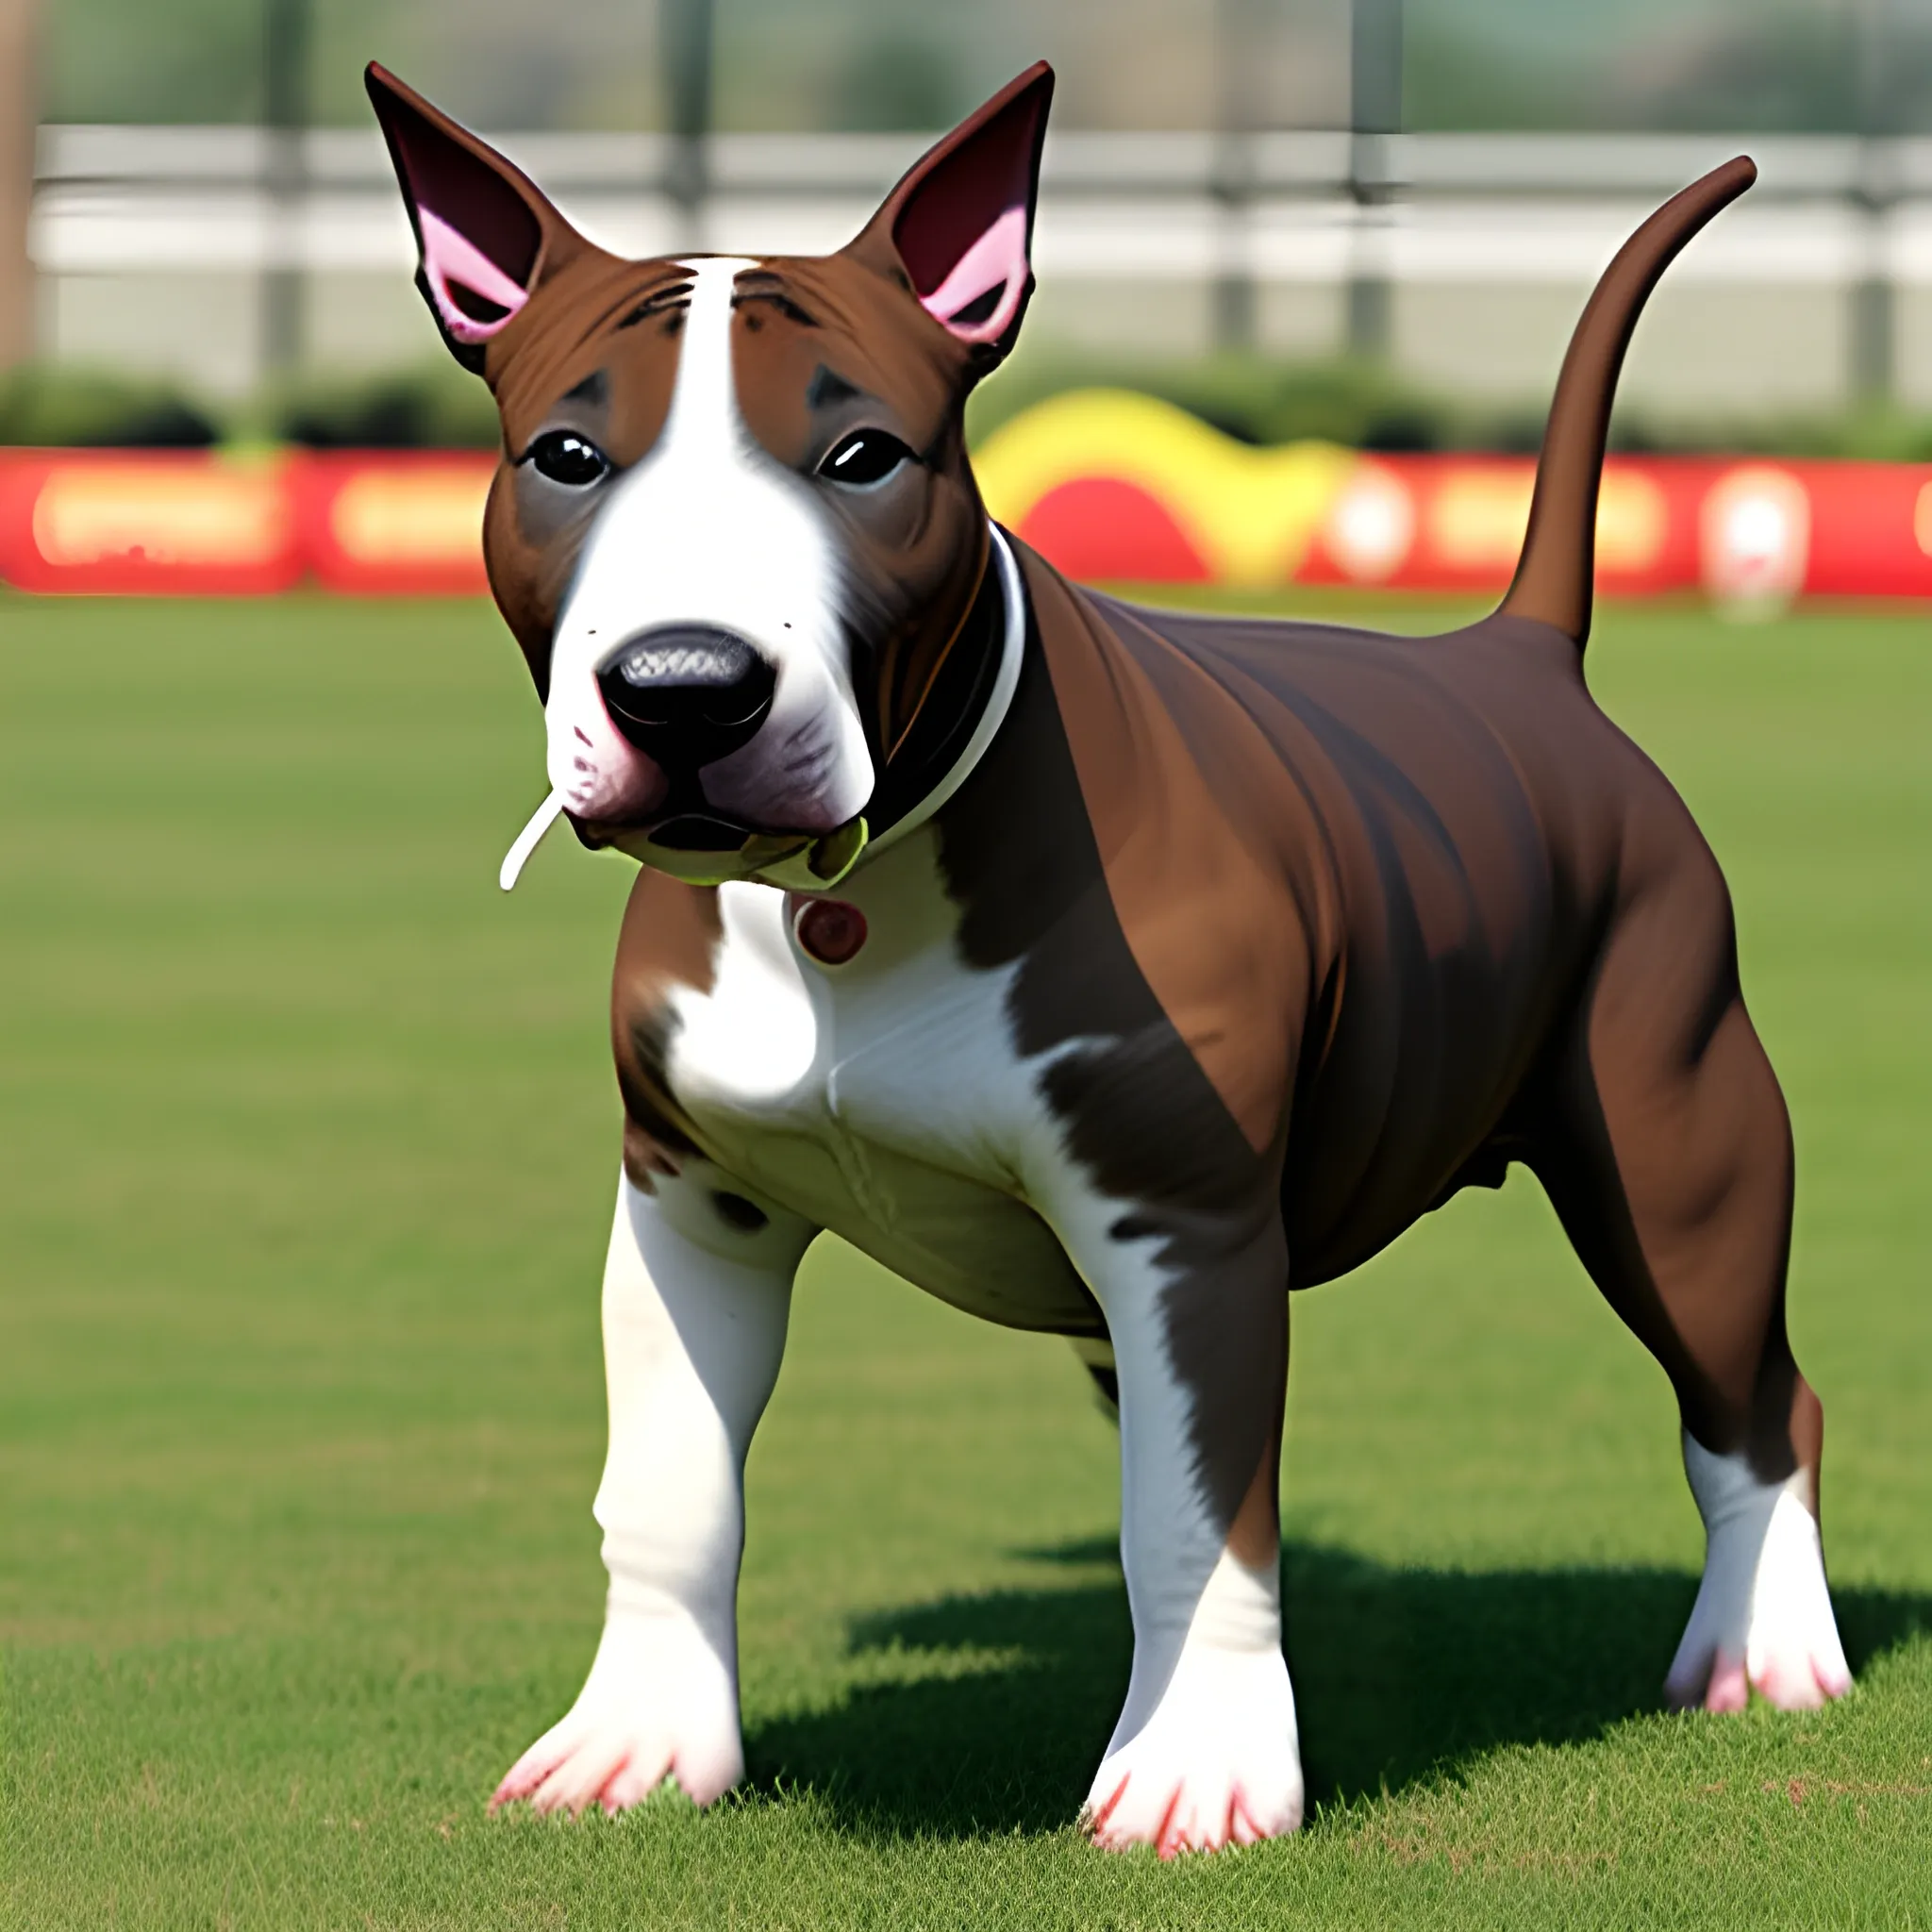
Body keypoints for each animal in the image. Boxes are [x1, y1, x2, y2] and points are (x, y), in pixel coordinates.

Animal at [365, 64, 1855, 1855]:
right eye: (567, 455)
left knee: (1749, 1394)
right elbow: (668, 1488)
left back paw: (1764, 1651)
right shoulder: (686, 1196)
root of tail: (1523, 654)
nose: (685, 690)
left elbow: (1194, 1517)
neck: (841, 897)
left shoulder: (1182, 1228)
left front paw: (1197, 1770)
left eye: (863, 454)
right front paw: (641, 1741)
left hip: (1679, 1129)